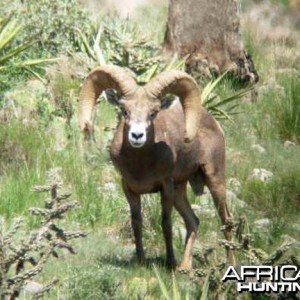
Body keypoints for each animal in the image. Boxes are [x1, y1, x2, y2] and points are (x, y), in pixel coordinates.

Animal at [78, 63, 236, 270]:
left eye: (153, 113)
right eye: (124, 110)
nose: (137, 136)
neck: (141, 165)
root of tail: (215, 124)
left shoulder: (165, 187)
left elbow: (166, 223)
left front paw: (169, 263)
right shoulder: (129, 189)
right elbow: (136, 222)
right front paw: (141, 260)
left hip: (214, 180)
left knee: (226, 221)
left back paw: (229, 265)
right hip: (180, 190)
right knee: (193, 221)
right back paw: (184, 267)